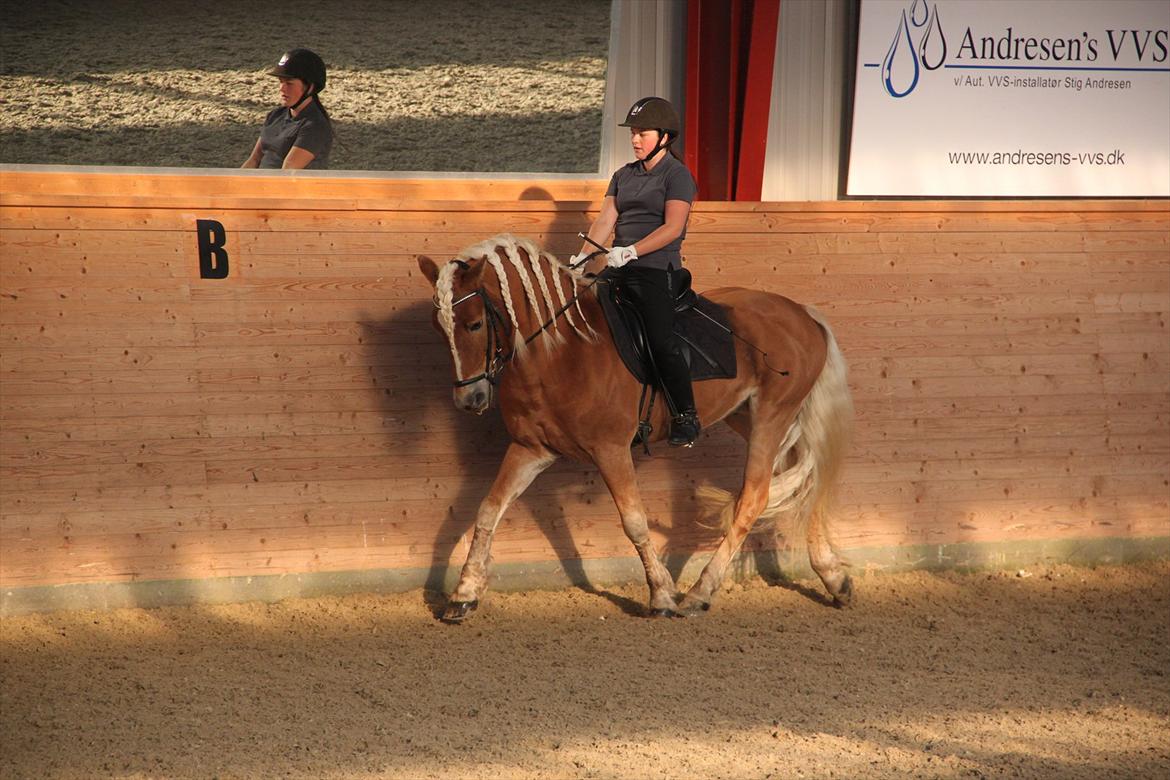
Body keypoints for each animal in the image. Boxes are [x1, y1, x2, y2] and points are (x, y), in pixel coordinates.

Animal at [416, 233, 856, 622]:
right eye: (438, 327)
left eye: (474, 324)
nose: (469, 400)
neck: (559, 352)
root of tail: (802, 313)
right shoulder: (530, 448)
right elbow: (488, 511)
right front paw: (464, 594)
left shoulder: (610, 450)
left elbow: (634, 522)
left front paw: (661, 595)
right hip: (747, 416)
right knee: (805, 477)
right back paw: (833, 578)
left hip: (772, 414)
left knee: (754, 497)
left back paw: (700, 592)